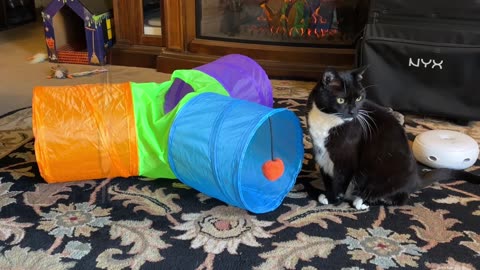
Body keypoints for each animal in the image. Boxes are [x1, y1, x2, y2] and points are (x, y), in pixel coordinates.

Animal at [308, 66, 480, 210]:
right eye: (341, 100)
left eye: (359, 98)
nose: (353, 112)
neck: (328, 120)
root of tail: (415, 180)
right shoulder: (320, 152)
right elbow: (328, 178)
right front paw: (328, 195)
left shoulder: (346, 157)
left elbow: (340, 181)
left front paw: (333, 200)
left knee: (399, 199)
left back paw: (362, 201)